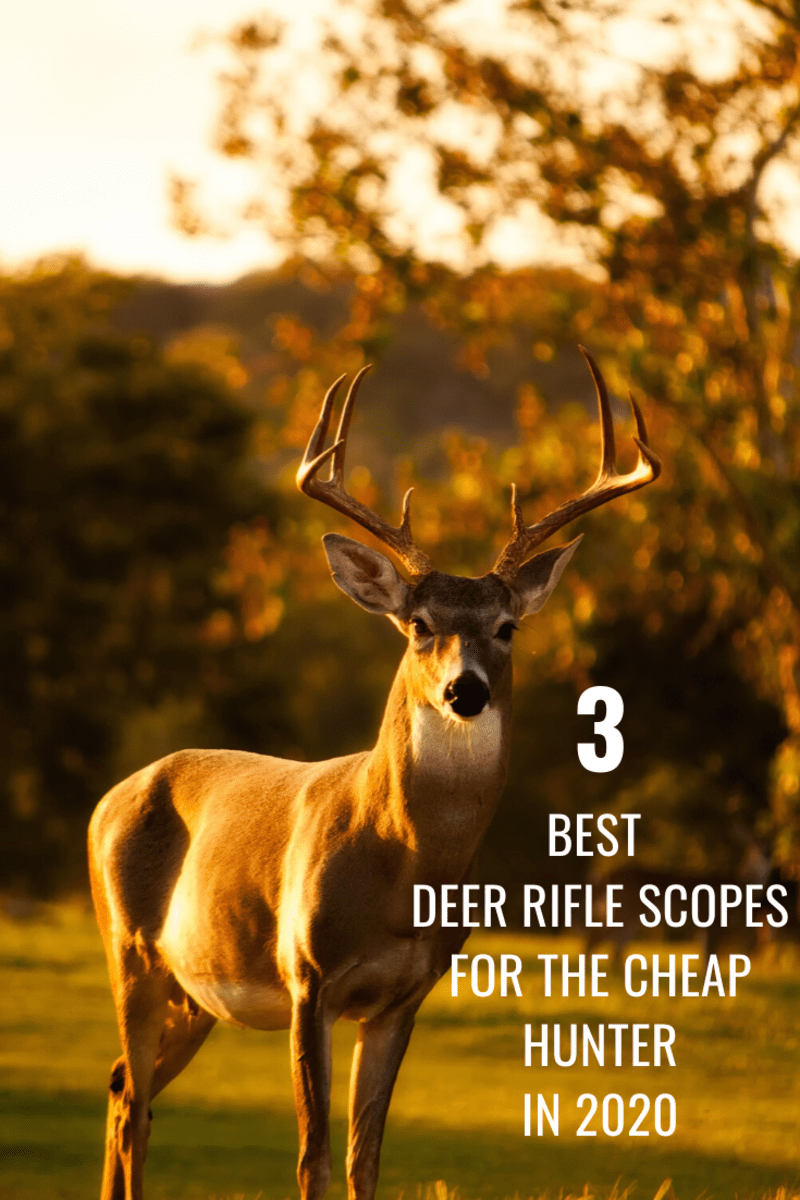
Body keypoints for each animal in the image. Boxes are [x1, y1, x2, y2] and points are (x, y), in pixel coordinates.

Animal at [88, 348, 659, 1200]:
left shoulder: (403, 997)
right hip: (129, 949)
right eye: (419, 624)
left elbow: (365, 1159)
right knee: (133, 1102)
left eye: (506, 627)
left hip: (196, 990)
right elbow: (313, 1157)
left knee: (126, 1085)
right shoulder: (307, 976)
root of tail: (109, 799)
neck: (401, 871)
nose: (465, 690)